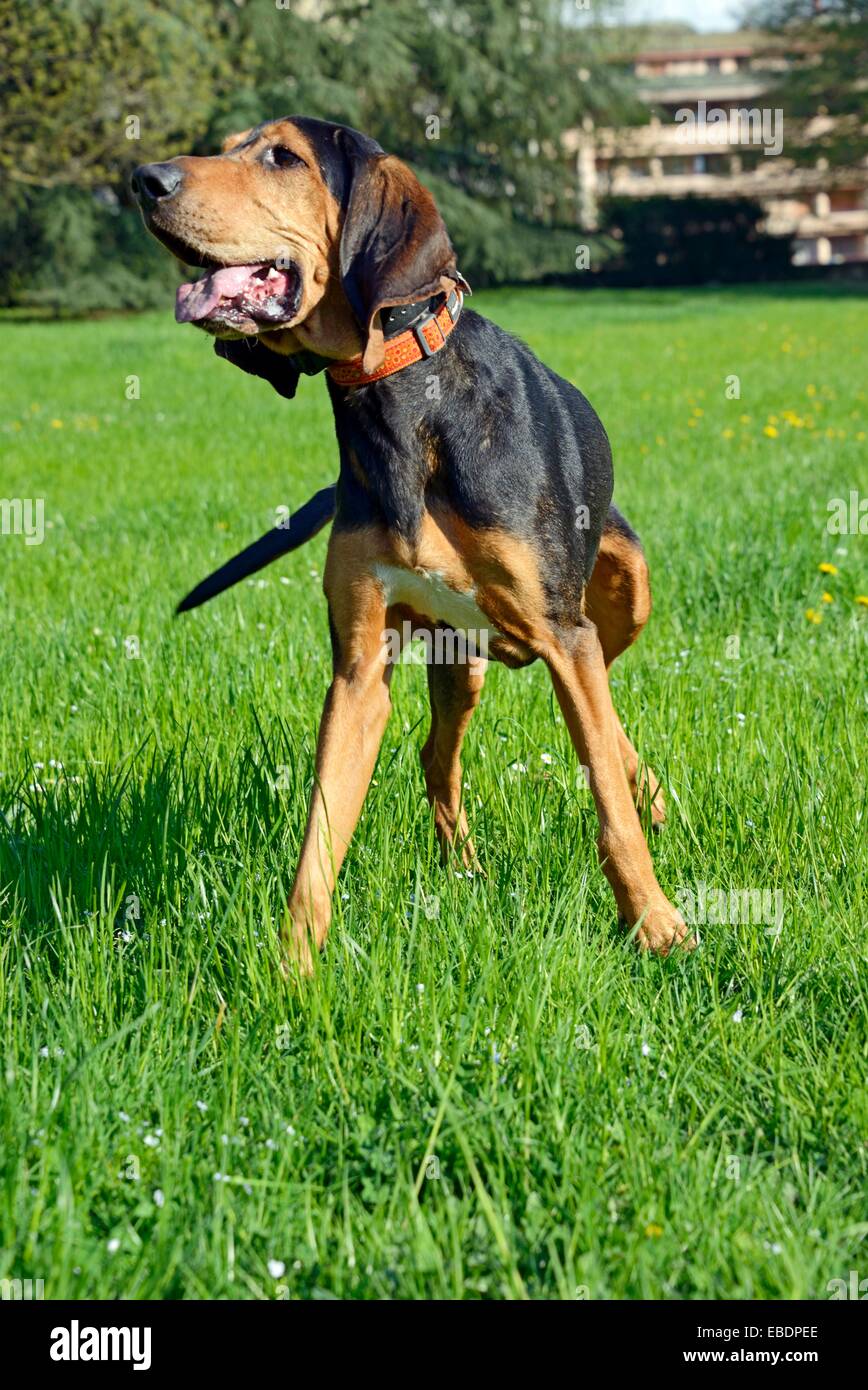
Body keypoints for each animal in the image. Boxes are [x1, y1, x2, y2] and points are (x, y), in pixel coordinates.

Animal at [132, 116, 695, 967]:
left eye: (282, 157)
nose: (144, 180)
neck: (395, 395)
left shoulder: (566, 633)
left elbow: (604, 785)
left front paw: (656, 924)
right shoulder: (359, 667)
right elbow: (321, 830)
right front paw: (293, 966)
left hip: (620, 600)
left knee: (609, 719)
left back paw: (649, 797)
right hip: (462, 658)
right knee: (439, 755)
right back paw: (462, 868)